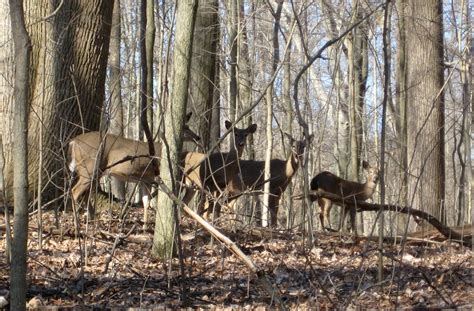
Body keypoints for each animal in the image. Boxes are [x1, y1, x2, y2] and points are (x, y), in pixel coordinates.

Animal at [67, 111, 199, 222]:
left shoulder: (145, 179)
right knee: (75, 191)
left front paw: (145, 225)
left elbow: (146, 202)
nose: (198, 137)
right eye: (185, 128)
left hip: (96, 172)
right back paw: (77, 221)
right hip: (90, 167)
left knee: (85, 193)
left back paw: (91, 219)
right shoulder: (156, 176)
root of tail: (73, 142)